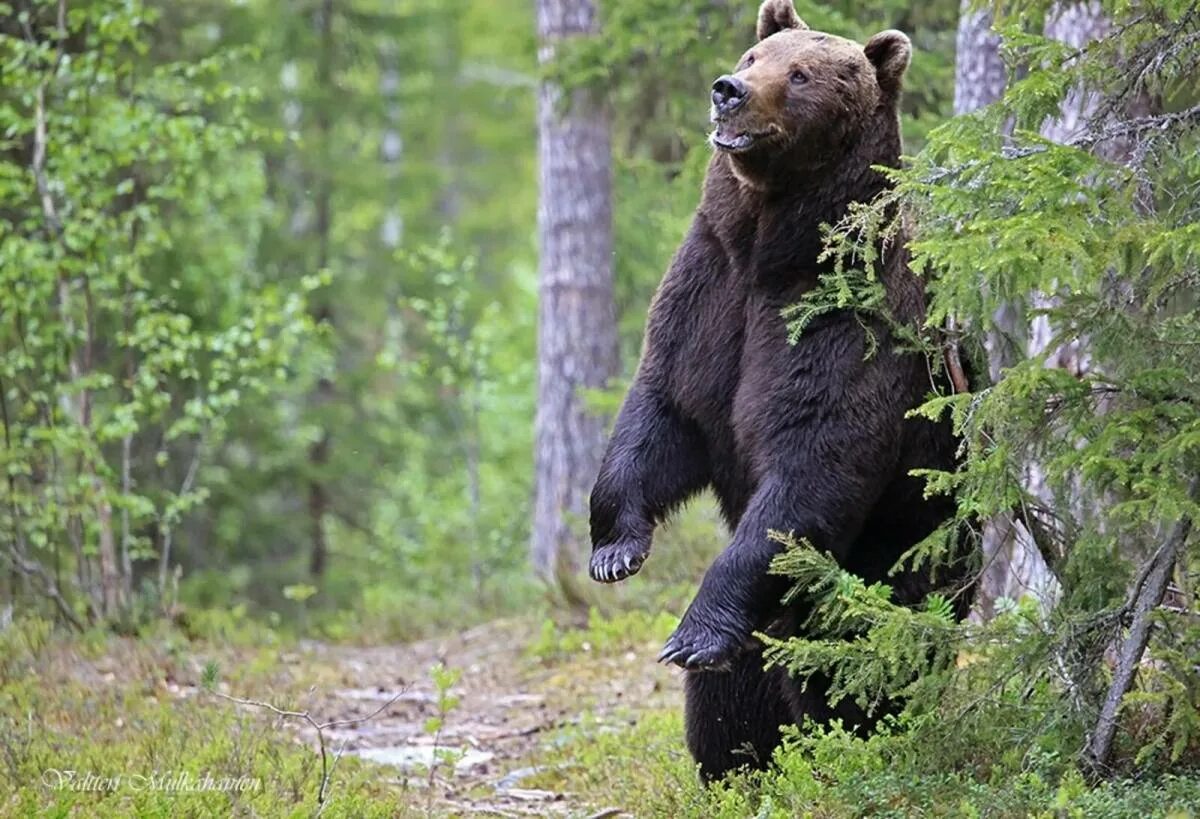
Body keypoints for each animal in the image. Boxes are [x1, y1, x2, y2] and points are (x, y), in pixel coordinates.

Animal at [590, 0, 974, 778]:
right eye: (753, 53)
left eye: (800, 73)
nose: (728, 89)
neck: (768, 247)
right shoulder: (709, 292)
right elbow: (665, 413)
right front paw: (616, 545)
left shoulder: (841, 320)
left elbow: (811, 462)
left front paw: (693, 632)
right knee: (731, 698)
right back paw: (738, 764)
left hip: (910, 553)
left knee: (853, 657)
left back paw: (853, 747)